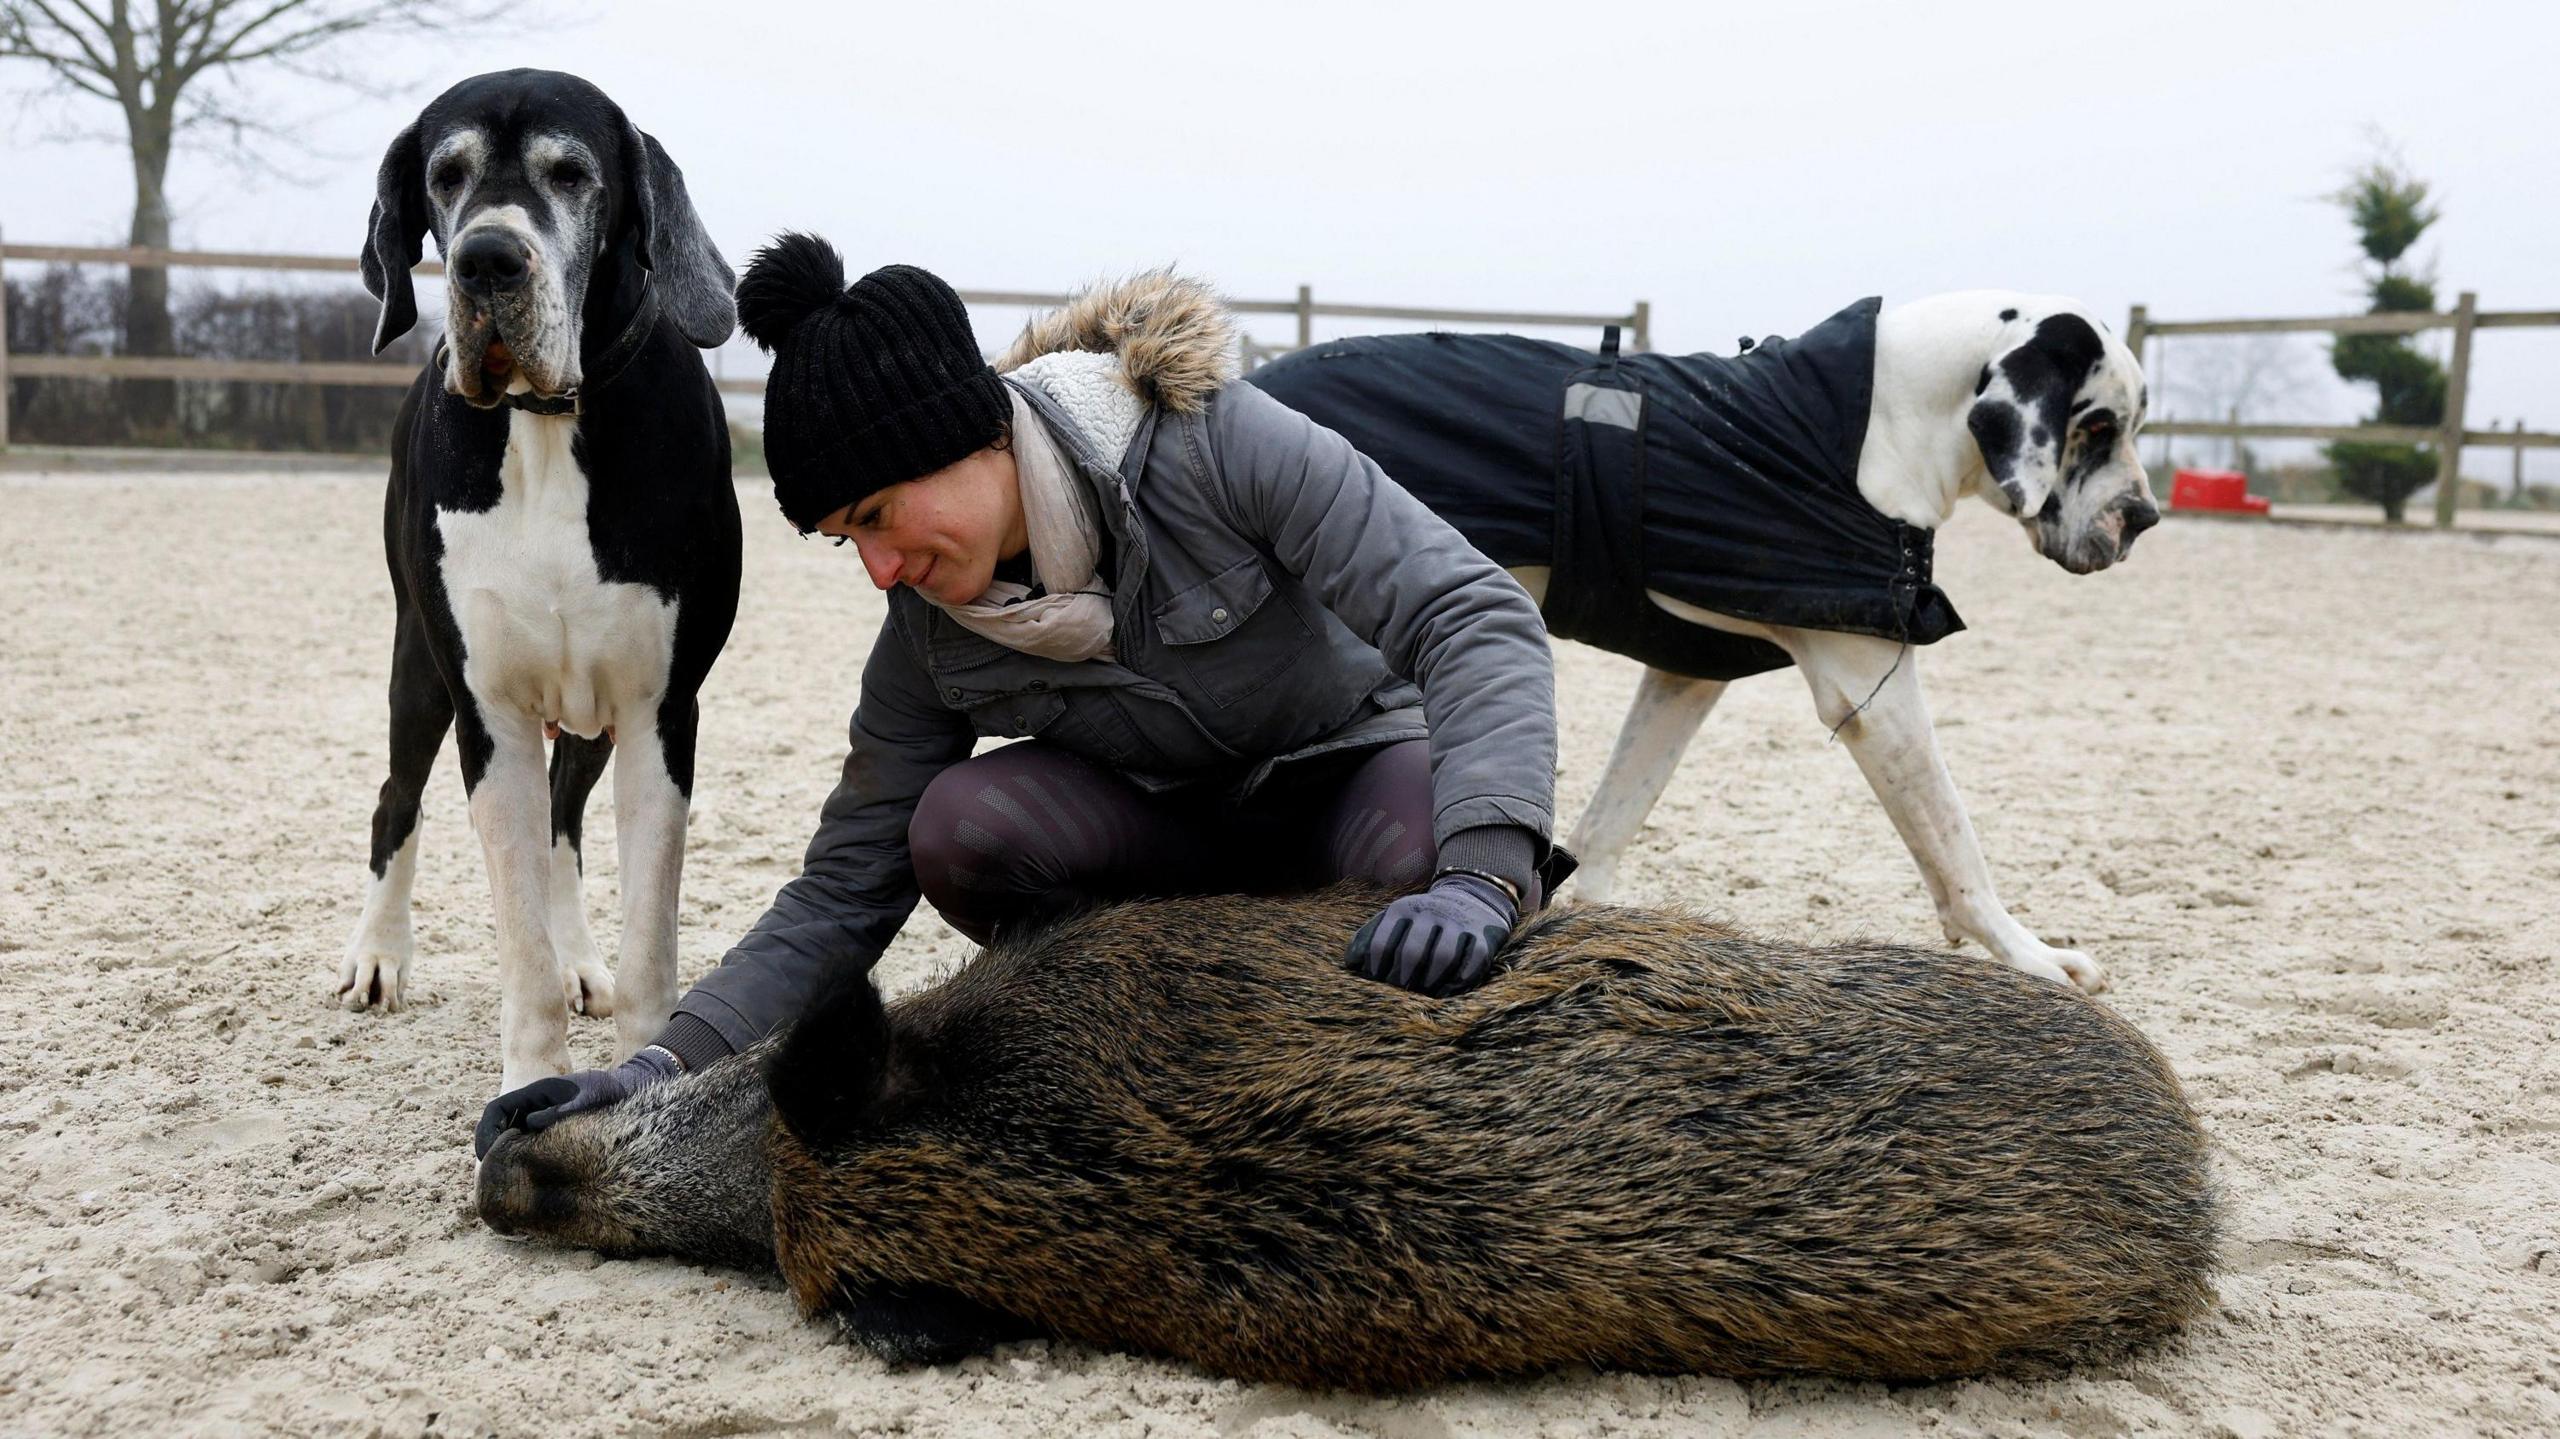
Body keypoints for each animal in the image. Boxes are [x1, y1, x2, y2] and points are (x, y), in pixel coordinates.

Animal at [340, 67, 747, 1080]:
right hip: (419, 670)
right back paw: (378, 954)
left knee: (568, 819)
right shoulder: (491, 713)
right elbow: (516, 938)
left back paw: (578, 959)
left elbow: (649, 936)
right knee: (396, 799)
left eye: (570, 174)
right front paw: (531, 1078)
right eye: (446, 176)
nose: (487, 260)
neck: (550, 419)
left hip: (591, 714)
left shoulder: (658, 710)